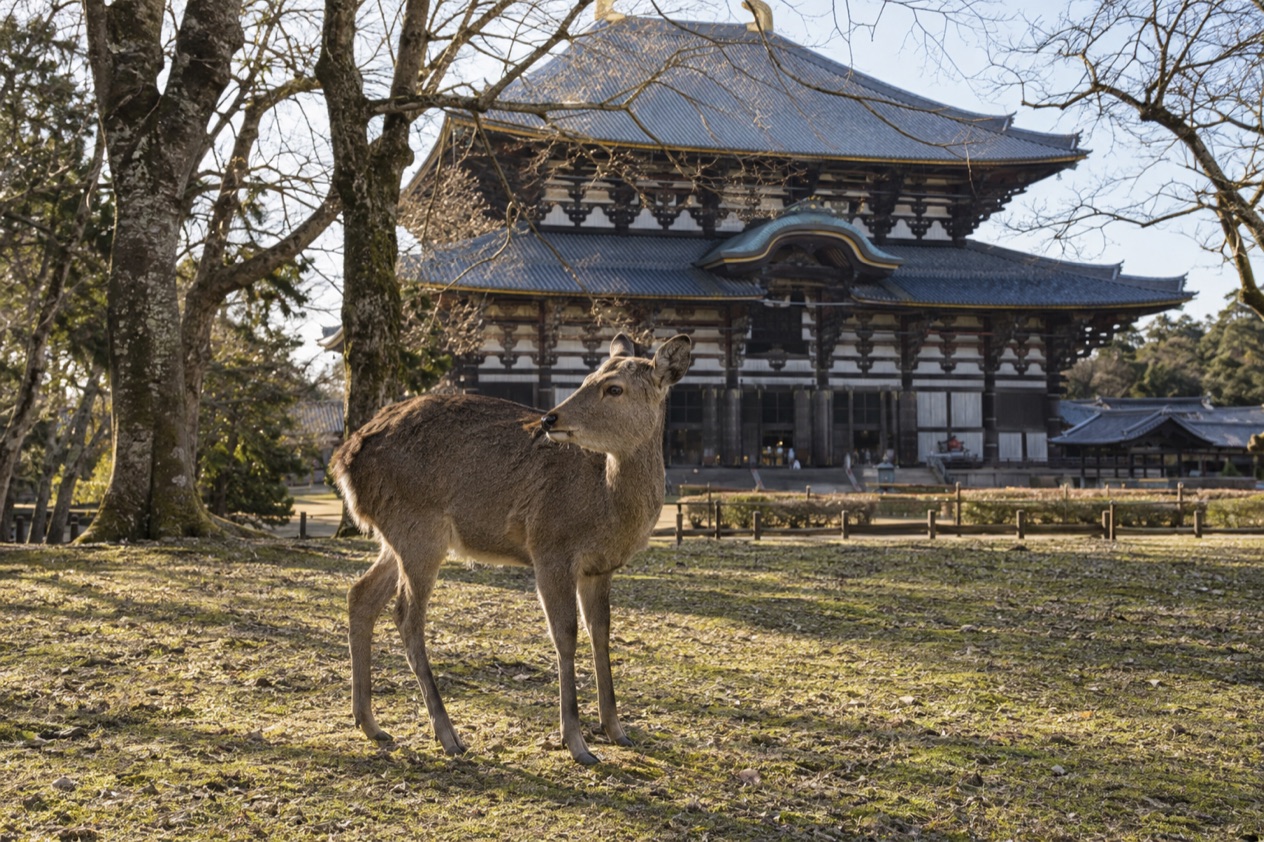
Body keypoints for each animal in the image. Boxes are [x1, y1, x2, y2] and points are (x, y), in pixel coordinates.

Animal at [330, 333, 692, 765]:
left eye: (614, 388)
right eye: (587, 379)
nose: (550, 419)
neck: (606, 504)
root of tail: (343, 460)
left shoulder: (599, 567)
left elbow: (601, 633)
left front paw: (617, 731)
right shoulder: (550, 547)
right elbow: (565, 634)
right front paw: (577, 743)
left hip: (396, 537)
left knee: (360, 594)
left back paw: (370, 724)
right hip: (420, 529)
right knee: (406, 616)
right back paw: (448, 736)